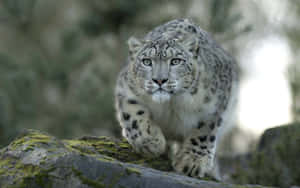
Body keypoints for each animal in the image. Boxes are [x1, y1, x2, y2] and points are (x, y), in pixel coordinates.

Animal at [113, 19, 238, 179]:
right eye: (146, 61)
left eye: (175, 61)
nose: (159, 80)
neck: (171, 105)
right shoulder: (126, 90)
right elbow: (134, 116)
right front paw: (151, 142)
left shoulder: (215, 106)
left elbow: (205, 132)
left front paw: (192, 162)